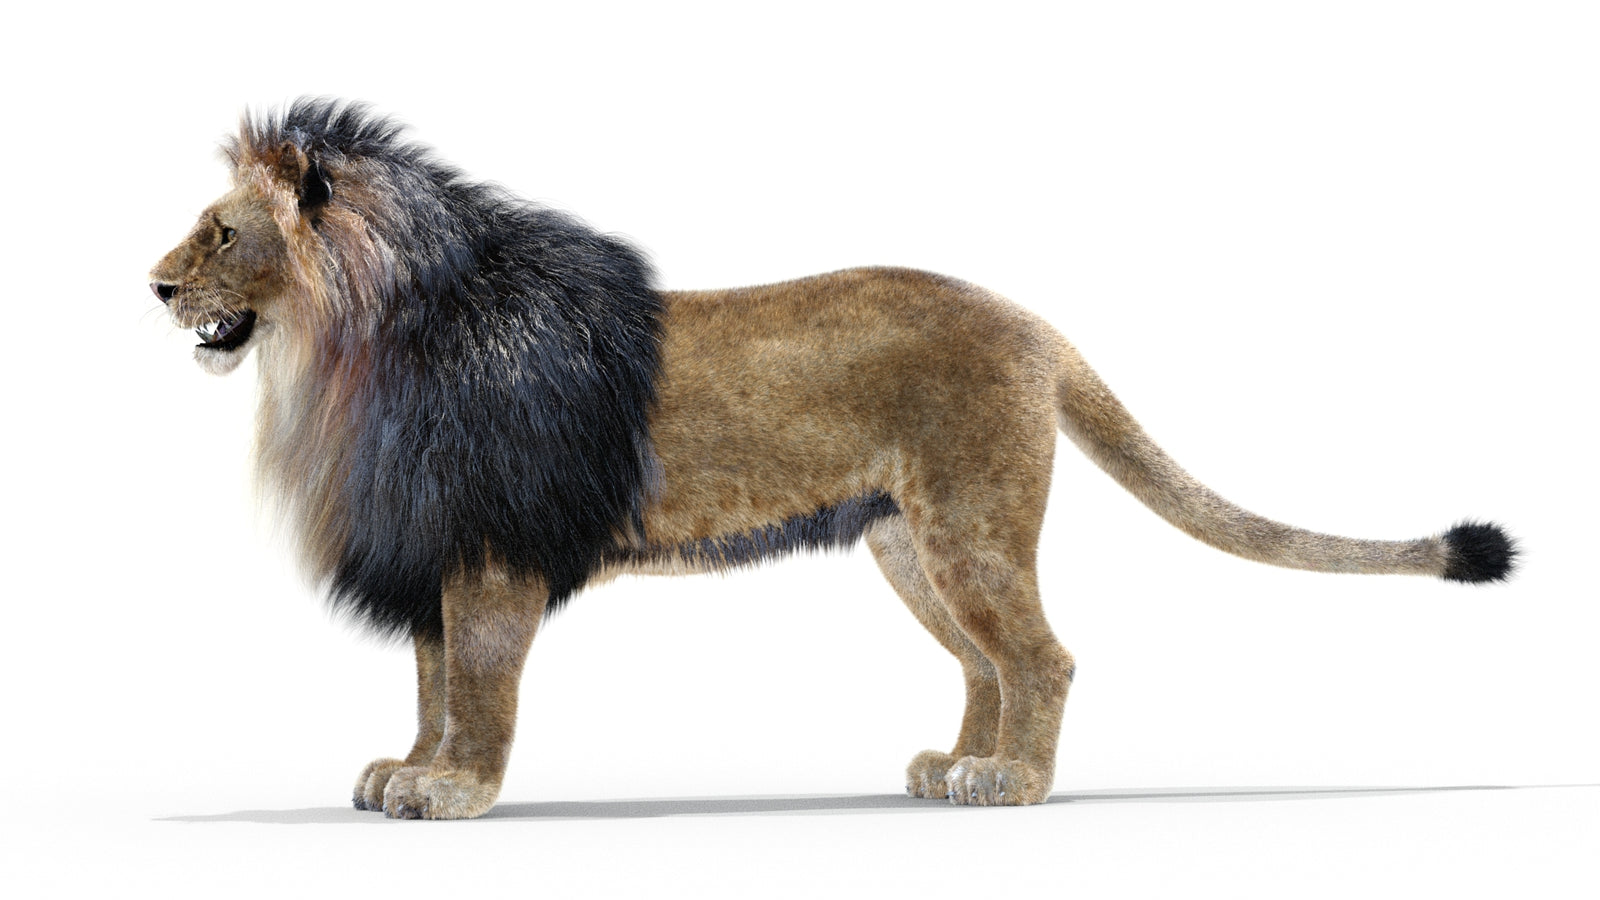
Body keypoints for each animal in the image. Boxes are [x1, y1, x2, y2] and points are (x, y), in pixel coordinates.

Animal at [148, 99, 1515, 819]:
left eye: (219, 233)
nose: (153, 285)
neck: (346, 355)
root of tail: (1037, 324)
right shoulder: (436, 547)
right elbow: (431, 688)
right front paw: (409, 774)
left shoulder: (490, 555)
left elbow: (479, 692)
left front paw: (455, 793)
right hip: (911, 545)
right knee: (986, 662)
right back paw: (957, 765)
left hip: (968, 526)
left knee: (1045, 657)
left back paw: (1013, 782)